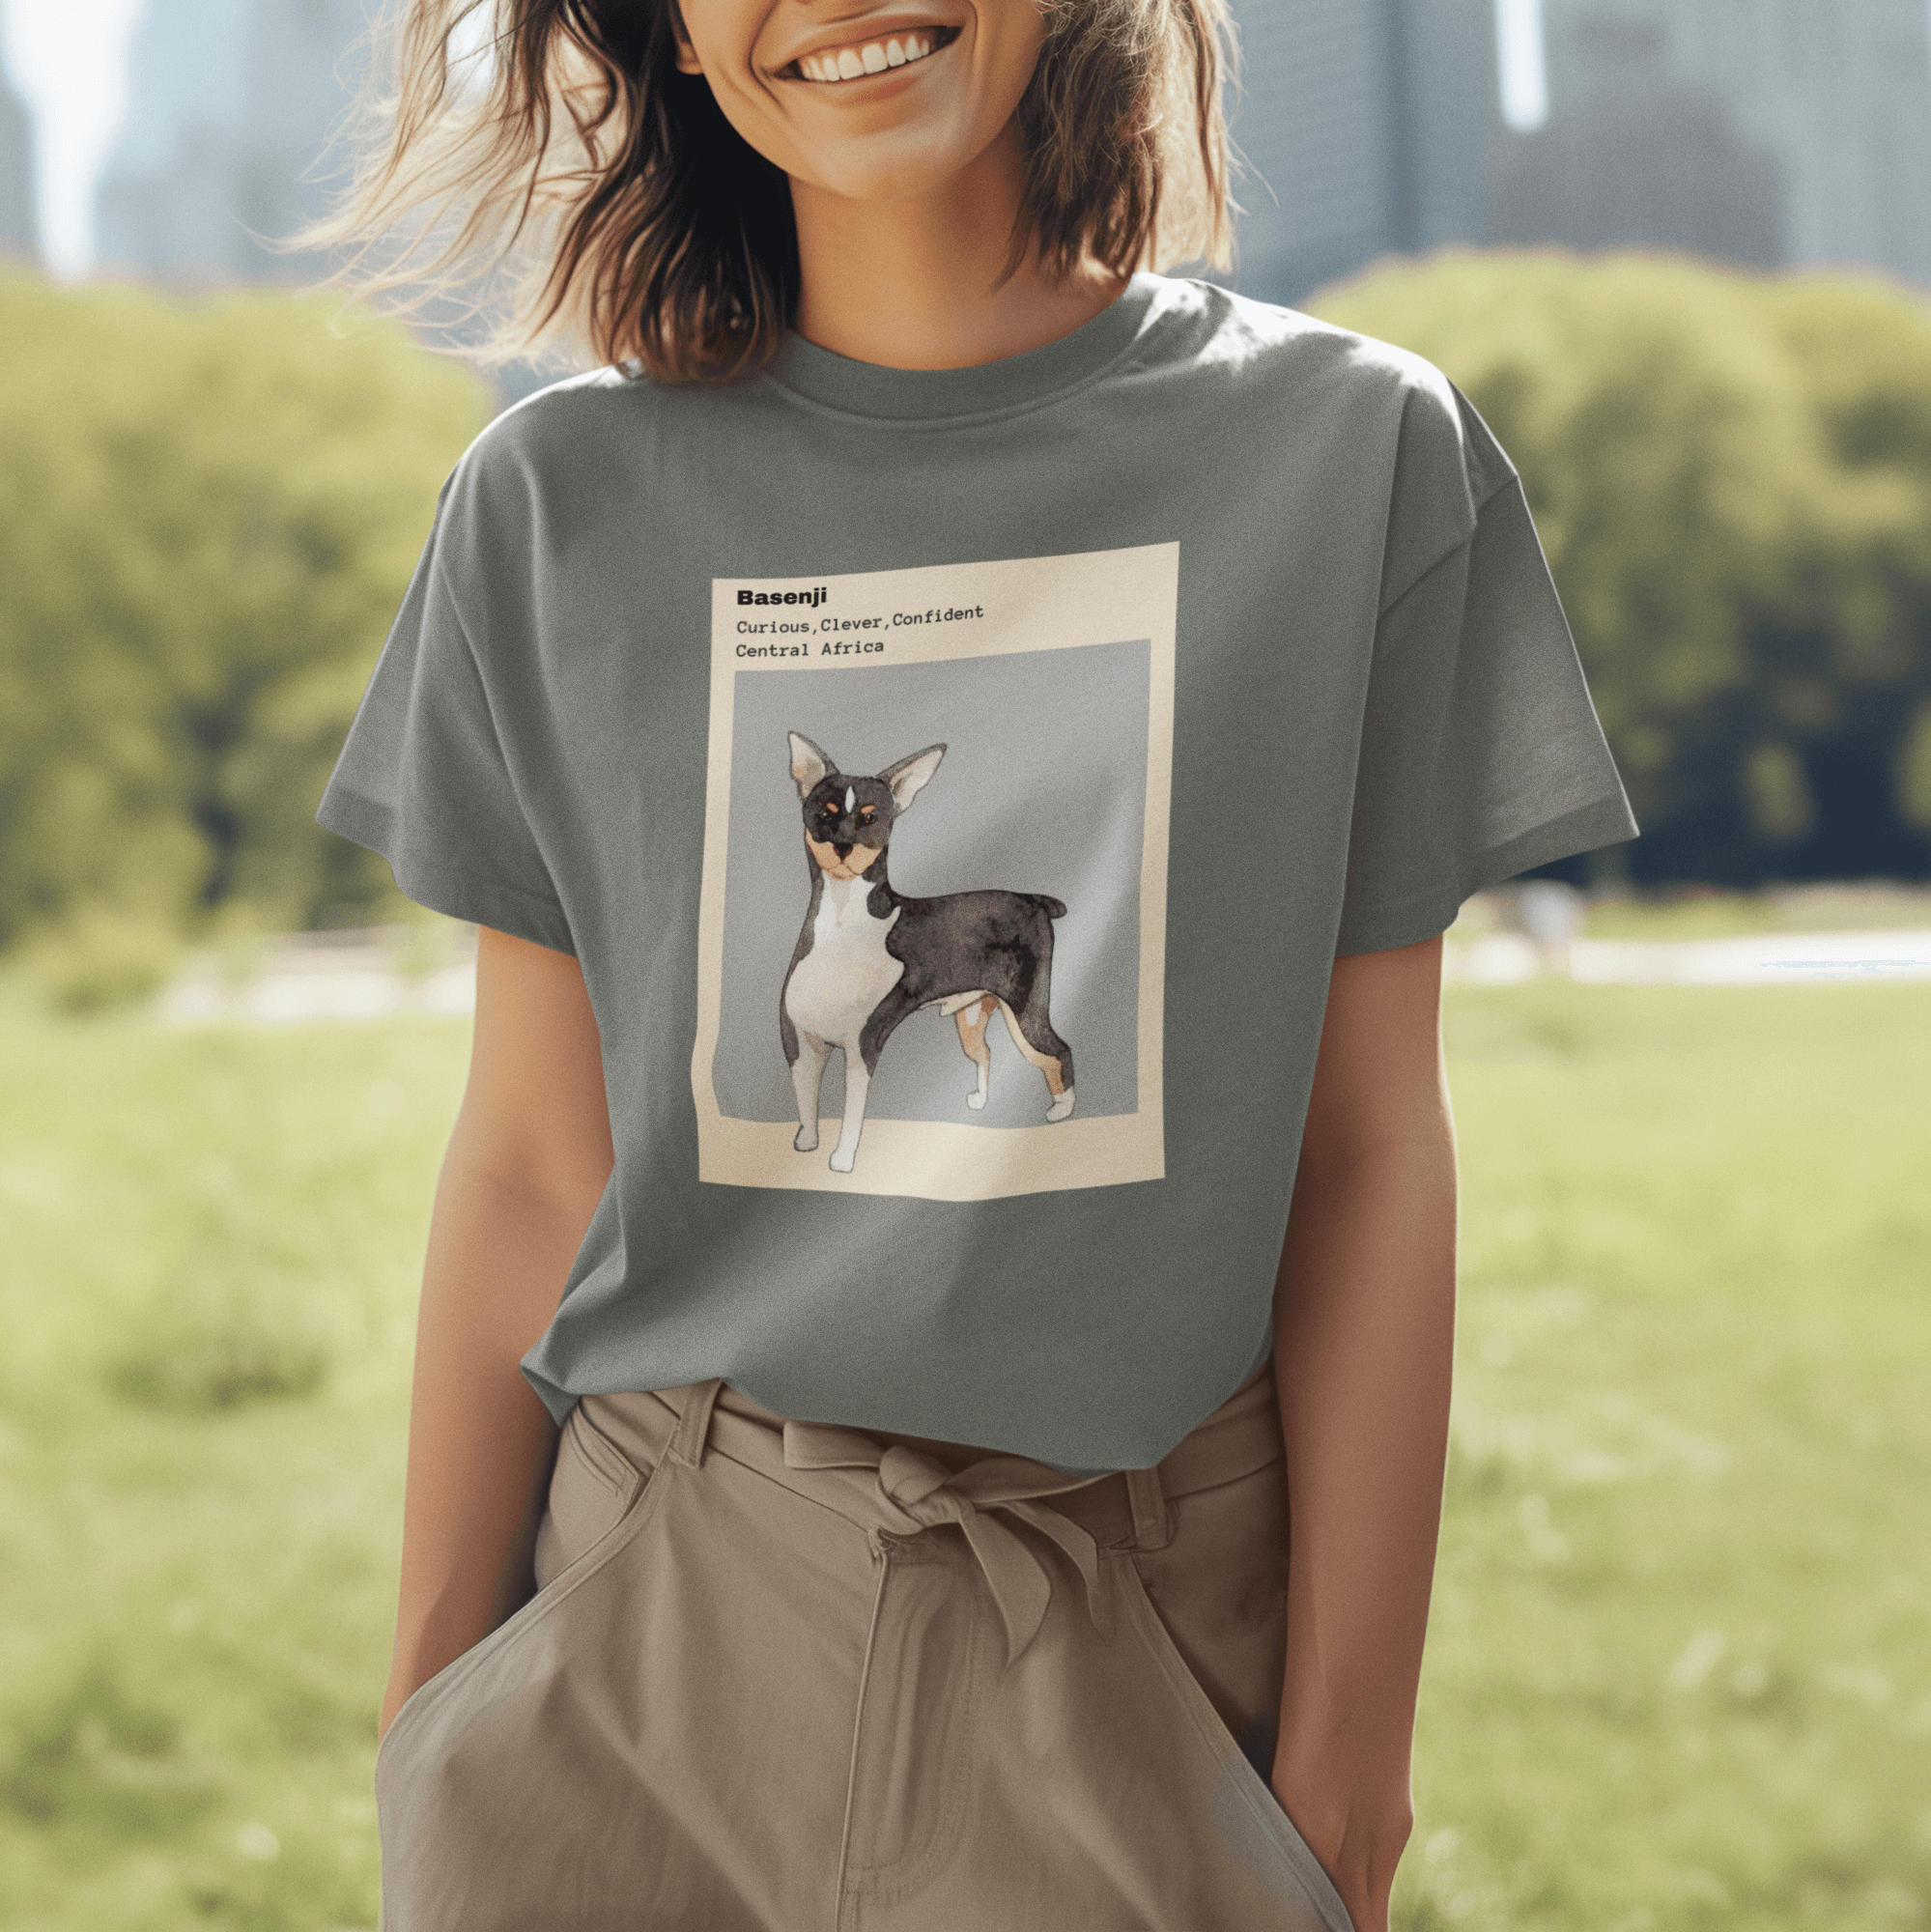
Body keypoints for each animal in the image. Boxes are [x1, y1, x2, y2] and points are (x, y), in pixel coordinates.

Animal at [776, 726, 1073, 1167]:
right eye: (824, 815)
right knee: (985, 1052)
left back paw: (1062, 1110)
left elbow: (851, 1115)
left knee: (1056, 1051)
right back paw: (980, 1101)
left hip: (1025, 1013)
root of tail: (1033, 899)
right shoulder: (801, 1044)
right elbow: (805, 1100)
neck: (843, 921)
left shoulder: (861, 1047)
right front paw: (806, 1142)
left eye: (871, 818)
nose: (844, 846)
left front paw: (843, 1159)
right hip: (972, 1016)